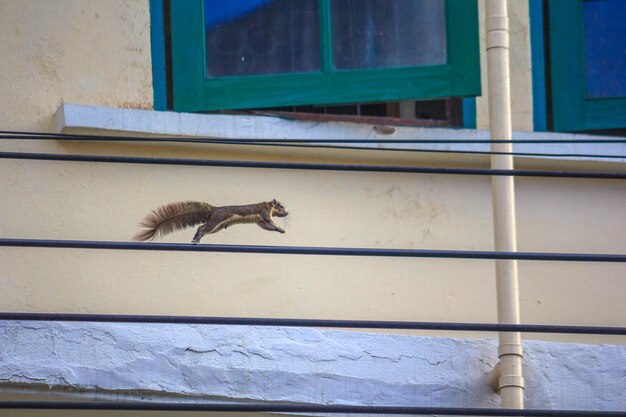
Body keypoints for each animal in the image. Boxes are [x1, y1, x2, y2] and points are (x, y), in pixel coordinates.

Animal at [133, 199, 288, 244]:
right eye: (281, 206)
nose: (287, 213)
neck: (268, 206)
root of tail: (214, 210)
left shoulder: (260, 221)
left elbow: (266, 226)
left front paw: (280, 230)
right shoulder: (264, 212)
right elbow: (270, 222)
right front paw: (280, 228)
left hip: (216, 227)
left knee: (201, 228)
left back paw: (195, 237)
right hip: (216, 221)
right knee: (202, 228)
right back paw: (197, 238)